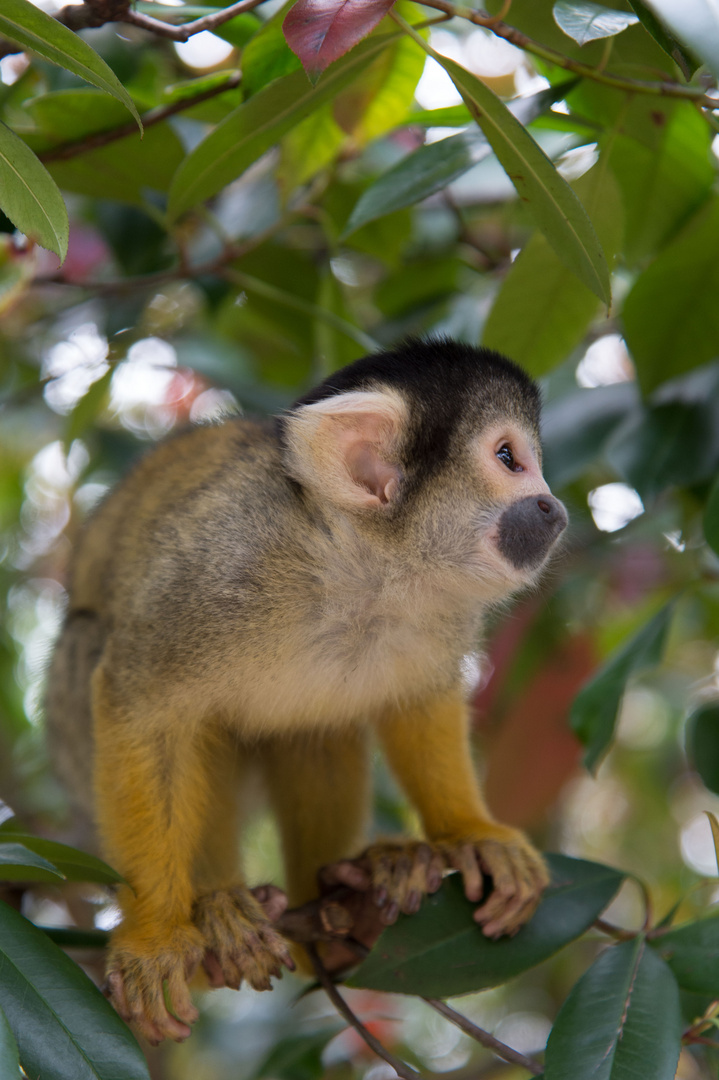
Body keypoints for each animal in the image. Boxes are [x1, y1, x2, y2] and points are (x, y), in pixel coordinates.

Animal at [47, 339, 570, 1045]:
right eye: (509, 458)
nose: (553, 507)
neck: (364, 570)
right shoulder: (224, 567)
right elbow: (141, 703)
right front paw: (155, 934)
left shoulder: (441, 610)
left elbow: (419, 701)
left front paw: (470, 831)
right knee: (108, 658)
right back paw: (221, 909)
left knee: (317, 732)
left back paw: (340, 907)